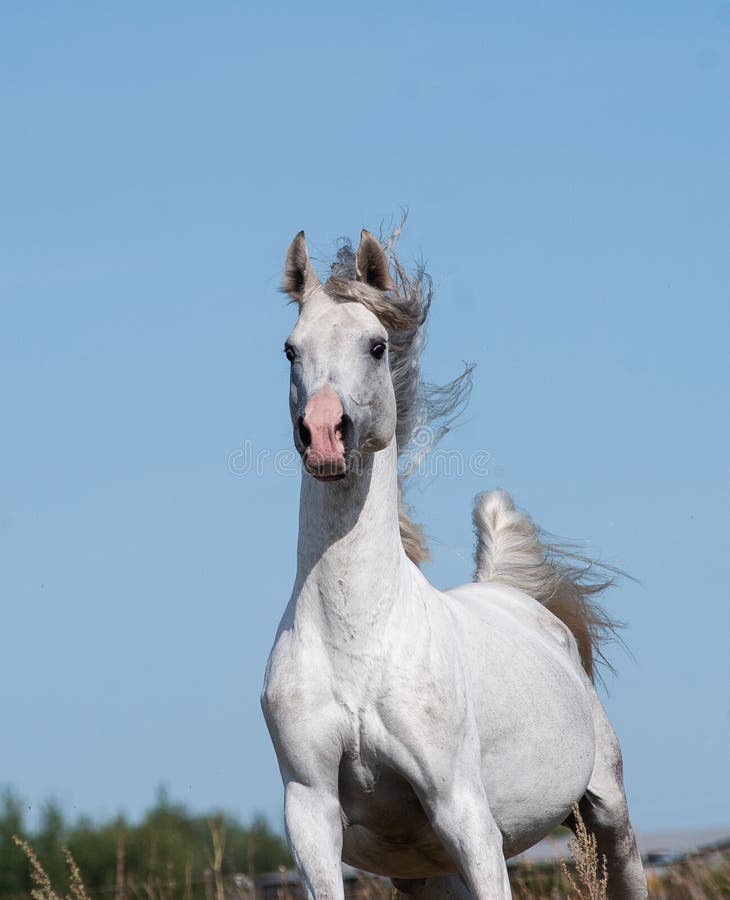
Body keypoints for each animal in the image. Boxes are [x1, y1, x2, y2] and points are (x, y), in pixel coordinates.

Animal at [260, 229, 644, 896]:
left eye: (376, 345)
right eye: (290, 349)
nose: (325, 435)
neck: (357, 639)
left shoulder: (464, 813)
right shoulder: (310, 813)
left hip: (606, 812)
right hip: (426, 874)